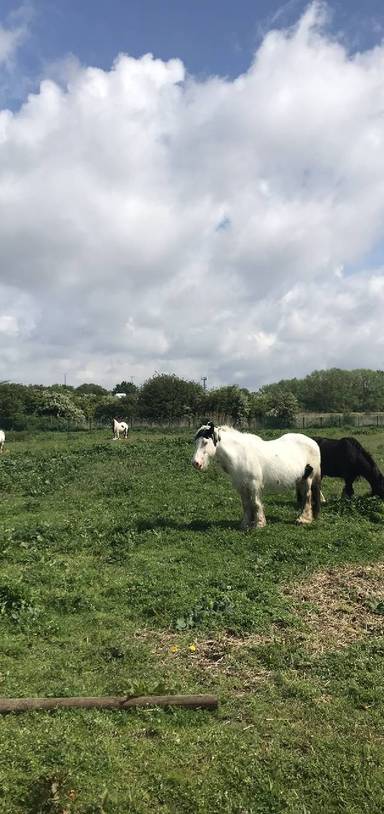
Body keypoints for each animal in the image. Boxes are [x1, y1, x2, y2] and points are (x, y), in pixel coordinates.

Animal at [192, 420, 320, 528]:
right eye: (196, 442)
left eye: (205, 442)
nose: (196, 463)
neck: (240, 455)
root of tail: (313, 442)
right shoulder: (241, 485)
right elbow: (246, 504)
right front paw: (245, 524)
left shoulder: (253, 484)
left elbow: (255, 503)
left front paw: (259, 524)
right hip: (300, 480)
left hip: (308, 478)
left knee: (307, 496)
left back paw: (303, 519)